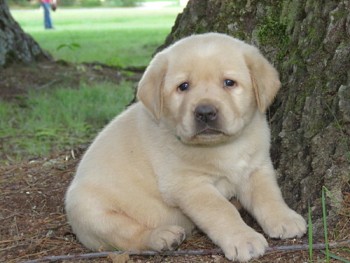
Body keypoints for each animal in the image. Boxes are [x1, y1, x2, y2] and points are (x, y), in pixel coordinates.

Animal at [65, 32, 306, 262]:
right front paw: (243, 239)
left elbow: (269, 195)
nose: (205, 112)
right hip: (88, 210)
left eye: (229, 83)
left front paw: (285, 218)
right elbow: (221, 210)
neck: (223, 146)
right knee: (128, 237)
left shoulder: (257, 167)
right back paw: (162, 237)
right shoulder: (189, 186)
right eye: (183, 86)